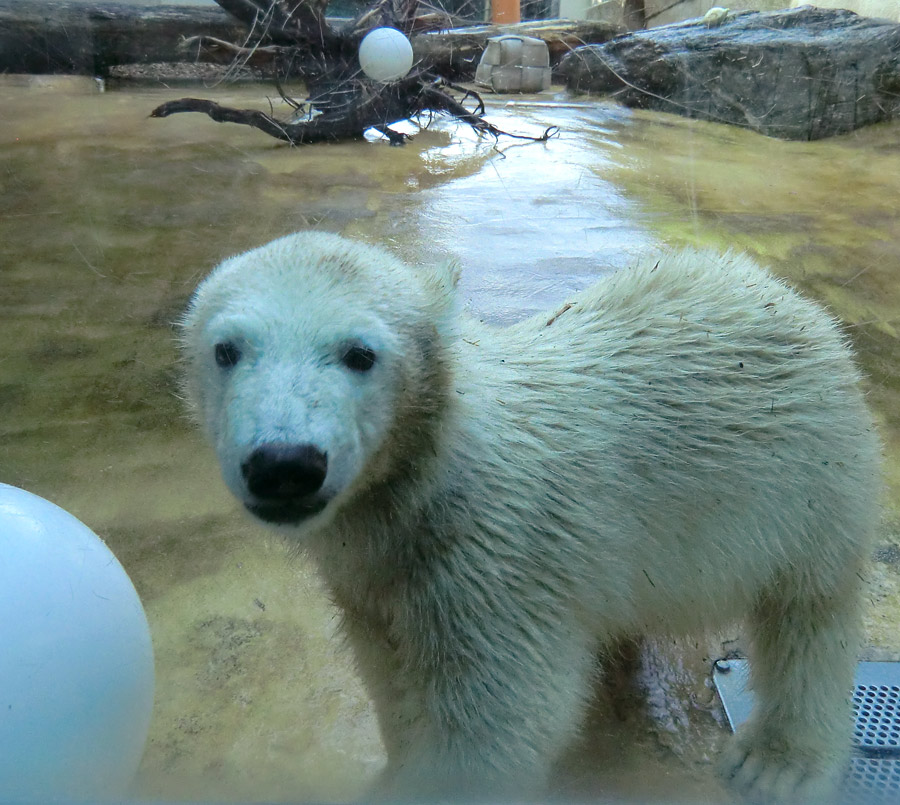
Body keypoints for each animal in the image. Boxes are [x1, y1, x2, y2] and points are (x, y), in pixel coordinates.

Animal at [181, 231, 880, 796]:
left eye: (359, 353)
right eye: (227, 350)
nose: (284, 463)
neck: (429, 474)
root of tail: (780, 291)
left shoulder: (495, 560)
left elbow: (498, 719)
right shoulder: (376, 574)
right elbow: (389, 674)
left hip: (805, 480)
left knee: (808, 612)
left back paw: (778, 761)